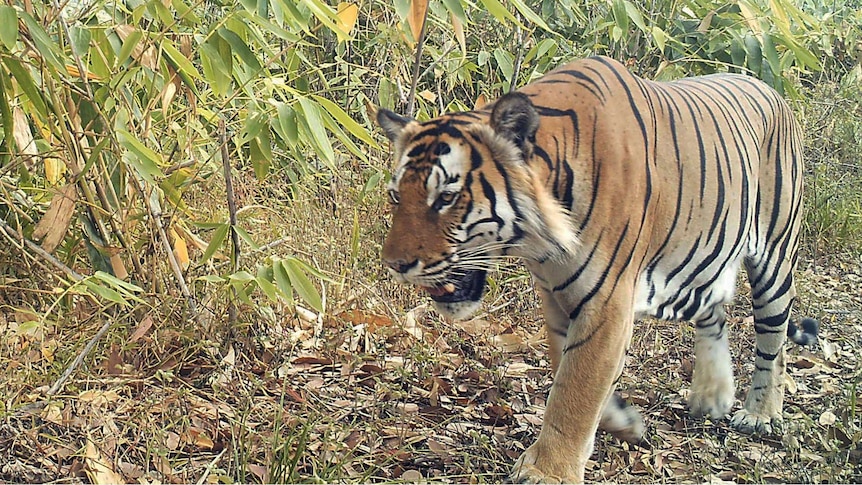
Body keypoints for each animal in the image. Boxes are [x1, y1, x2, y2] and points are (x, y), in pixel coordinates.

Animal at [376, 55, 816, 480]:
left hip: (775, 257)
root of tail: (770, 89)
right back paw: (712, 396)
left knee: (774, 341)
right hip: (699, 261)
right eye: (397, 196)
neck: (543, 243)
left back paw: (759, 414)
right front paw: (621, 421)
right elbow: (566, 366)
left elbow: (576, 387)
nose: (394, 264)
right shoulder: (557, 296)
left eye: (446, 198)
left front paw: (547, 471)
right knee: (714, 312)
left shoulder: (606, 302)